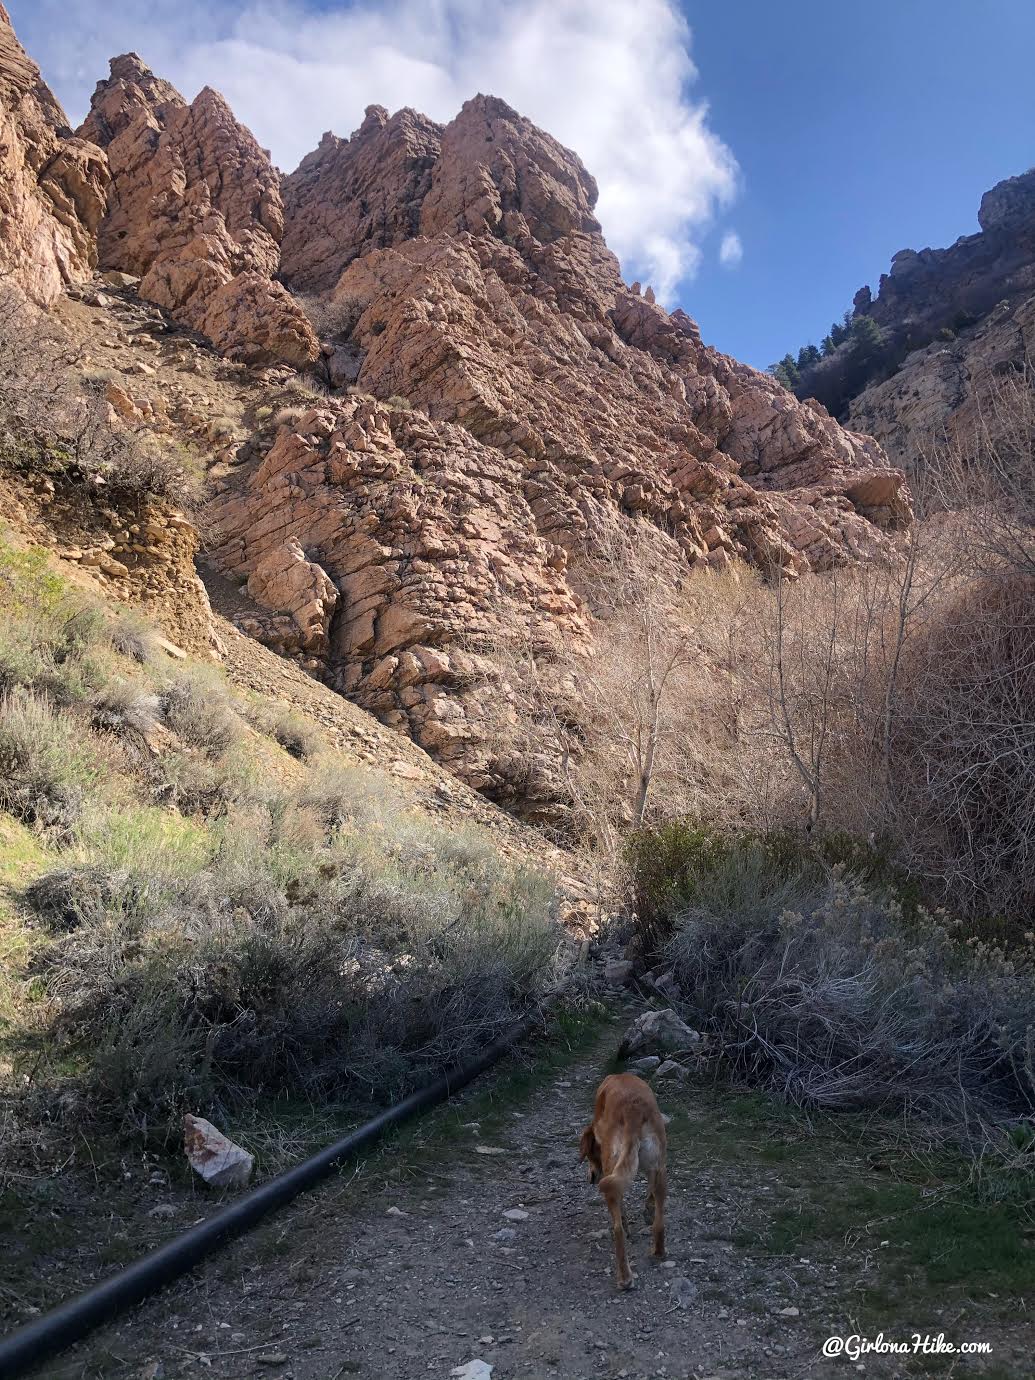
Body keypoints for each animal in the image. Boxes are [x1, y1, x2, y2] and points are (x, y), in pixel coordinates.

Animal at [579, 1070, 667, 1286]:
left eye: (589, 1156)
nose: (591, 1178)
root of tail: (633, 1109)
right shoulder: (653, 1169)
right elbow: (649, 1196)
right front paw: (648, 1210)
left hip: (612, 1174)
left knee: (618, 1228)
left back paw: (625, 1277)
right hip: (660, 1167)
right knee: (660, 1219)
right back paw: (658, 1251)